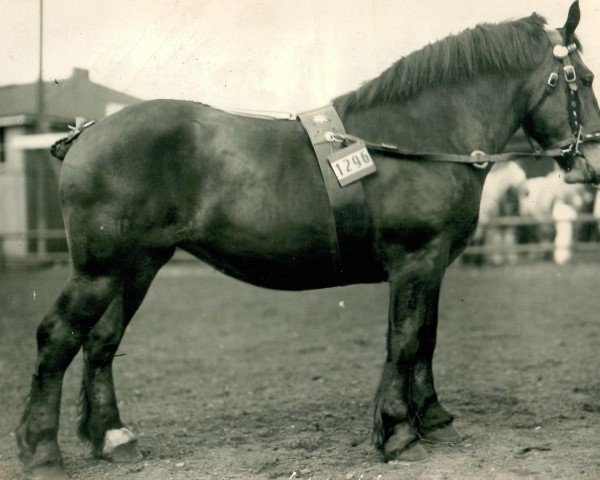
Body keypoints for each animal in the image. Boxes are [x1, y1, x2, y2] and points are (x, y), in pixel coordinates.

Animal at [14, 3, 600, 480]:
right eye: (585, 78)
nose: (591, 163)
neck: (419, 137)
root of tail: (86, 133)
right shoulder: (414, 263)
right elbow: (404, 340)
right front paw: (398, 432)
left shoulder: (433, 266)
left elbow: (426, 340)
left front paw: (433, 417)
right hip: (100, 271)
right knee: (57, 336)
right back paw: (42, 452)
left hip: (137, 267)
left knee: (101, 342)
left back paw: (113, 438)